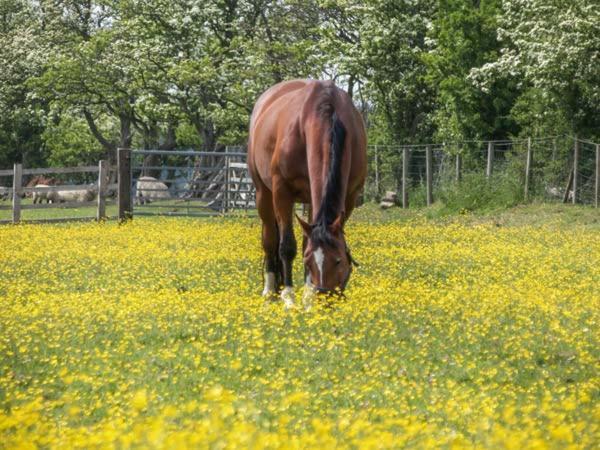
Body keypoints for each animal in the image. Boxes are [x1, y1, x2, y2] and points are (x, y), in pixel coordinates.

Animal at [247, 79, 366, 308]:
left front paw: (307, 297)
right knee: (270, 239)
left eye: (338, 260)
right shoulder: (281, 192)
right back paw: (270, 292)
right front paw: (289, 298)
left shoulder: (349, 197)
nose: (325, 299)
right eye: (309, 261)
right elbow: (287, 246)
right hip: (263, 195)